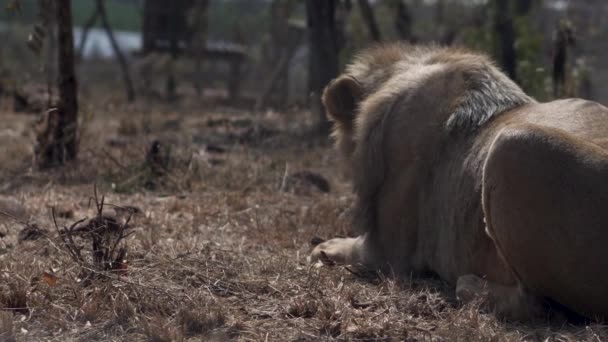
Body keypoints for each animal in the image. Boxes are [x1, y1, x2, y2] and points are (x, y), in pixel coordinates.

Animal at [314, 43, 608, 320]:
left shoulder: (388, 252)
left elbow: (340, 248)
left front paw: (324, 248)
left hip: (514, 145)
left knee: (534, 303)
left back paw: (469, 286)